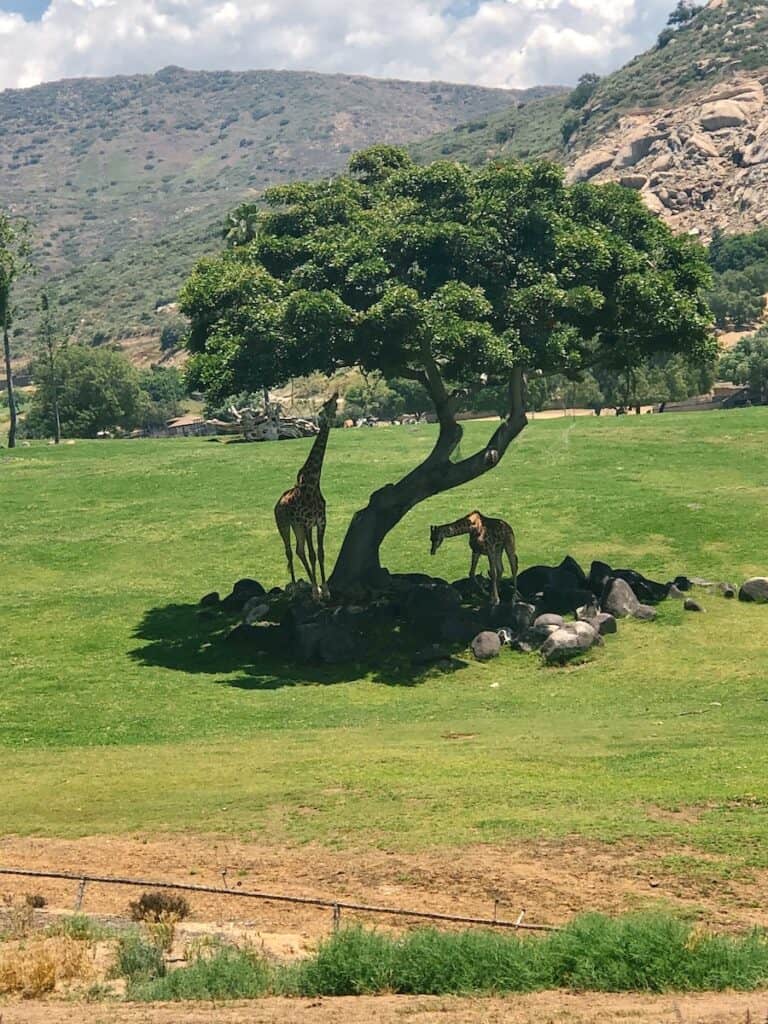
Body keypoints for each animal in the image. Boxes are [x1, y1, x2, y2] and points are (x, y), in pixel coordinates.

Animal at [274, 392, 339, 598]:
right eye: (327, 403)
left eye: (333, 401)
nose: (336, 394)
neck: (313, 483)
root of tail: (276, 504)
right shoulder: (307, 523)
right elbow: (312, 554)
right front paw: (317, 593)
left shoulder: (321, 521)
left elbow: (320, 553)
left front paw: (324, 589)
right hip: (284, 525)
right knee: (289, 551)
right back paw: (295, 587)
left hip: (296, 527)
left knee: (298, 550)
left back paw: (311, 586)